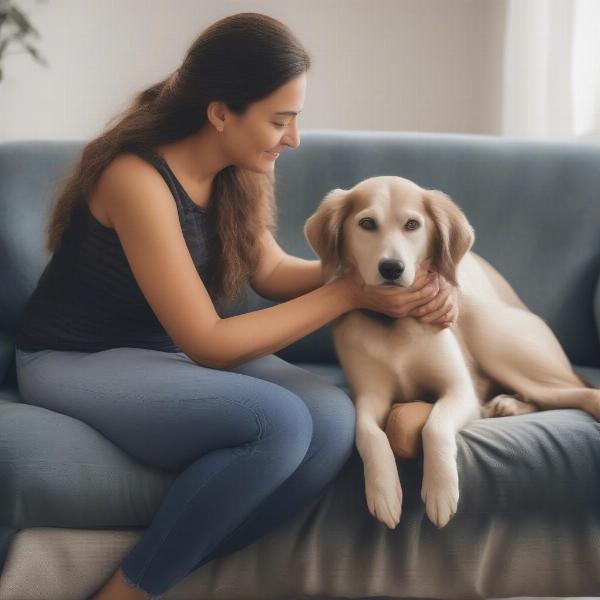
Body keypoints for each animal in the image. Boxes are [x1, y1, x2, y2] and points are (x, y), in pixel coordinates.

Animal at [304, 175, 600, 528]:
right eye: (366, 223)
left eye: (412, 224)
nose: (391, 268)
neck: (394, 325)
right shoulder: (369, 396)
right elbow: (368, 433)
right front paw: (384, 492)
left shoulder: (459, 390)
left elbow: (434, 426)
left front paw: (440, 490)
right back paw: (508, 405)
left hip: (494, 337)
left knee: (577, 392)